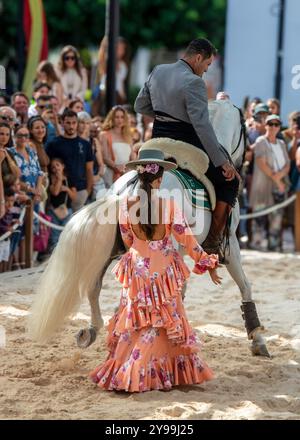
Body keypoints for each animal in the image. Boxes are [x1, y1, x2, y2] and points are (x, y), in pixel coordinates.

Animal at [29, 102, 270, 358]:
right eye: (245, 127)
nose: (244, 162)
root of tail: (125, 190)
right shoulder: (230, 244)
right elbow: (245, 286)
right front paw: (257, 338)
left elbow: (180, 290)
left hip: (111, 252)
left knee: (95, 288)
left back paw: (97, 331)